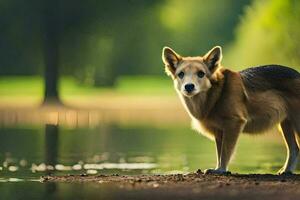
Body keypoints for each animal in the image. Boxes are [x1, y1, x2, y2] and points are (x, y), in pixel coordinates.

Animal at [162, 46, 300, 174]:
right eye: (181, 74)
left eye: (201, 73)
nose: (189, 86)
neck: (216, 94)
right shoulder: (219, 131)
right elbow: (219, 152)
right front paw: (217, 168)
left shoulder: (234, 124)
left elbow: (225, 152)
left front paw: (221, 170)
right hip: (286, 123)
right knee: (294, 149)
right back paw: (286, 170)